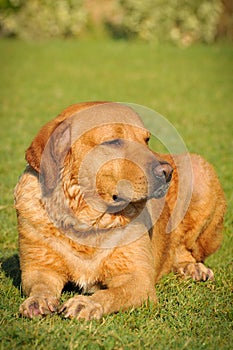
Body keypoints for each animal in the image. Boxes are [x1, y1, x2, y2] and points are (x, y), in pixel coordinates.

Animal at [14, 101, 226, 320]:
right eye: (114, 141)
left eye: (146, 140)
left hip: (201, 173)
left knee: (185, 250)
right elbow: (40, 286)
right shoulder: (38, 268)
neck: (85, 218)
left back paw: (193, 268)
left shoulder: (137, 279)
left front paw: (86, 303)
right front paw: (37, 301)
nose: (167, 172)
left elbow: (112, 294)